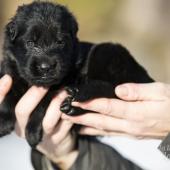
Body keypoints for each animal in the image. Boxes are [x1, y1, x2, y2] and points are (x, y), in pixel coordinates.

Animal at [0, 1, 153, 147]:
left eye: (60, 42)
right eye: (30, 42)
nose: (46, 67)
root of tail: (145, 76)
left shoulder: (61, 81)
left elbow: (42, 103)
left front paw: (32, 131)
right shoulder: (10, 73)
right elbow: (8, 95)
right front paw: (4, 121)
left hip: (106, 52)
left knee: (110, 88)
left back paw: (77, 95)